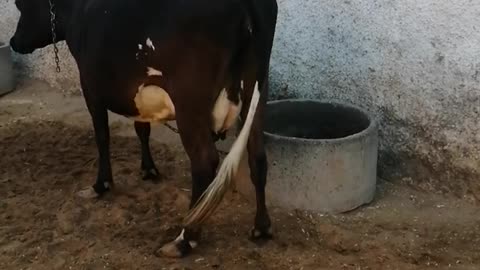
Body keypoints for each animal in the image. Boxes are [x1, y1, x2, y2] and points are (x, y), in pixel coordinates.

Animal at [10, 0, 278, 256]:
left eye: (20, 5)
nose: (13, 42)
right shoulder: (137, 93)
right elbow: (142, 129)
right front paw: (148, 169)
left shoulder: (90, 86)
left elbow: (102, 136)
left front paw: (101, 185)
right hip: (257, 91)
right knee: (257, 157)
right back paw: (261, 227)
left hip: (189, 102)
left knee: (204, 161)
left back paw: (184, 239)